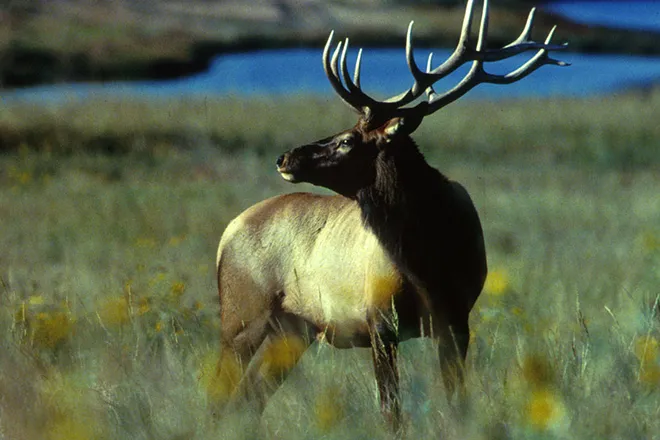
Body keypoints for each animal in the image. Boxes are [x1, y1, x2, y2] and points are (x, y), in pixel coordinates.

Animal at [217, 0, 568, 430]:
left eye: (347, 140)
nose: (285, 157)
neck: (429, 264)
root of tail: (228, 232)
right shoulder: (380, 322)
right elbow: (391, 413)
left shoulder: (457, 322)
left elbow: (455, 403)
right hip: (240, 318)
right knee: (220, 390)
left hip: (292, 330)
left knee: (250, 396)